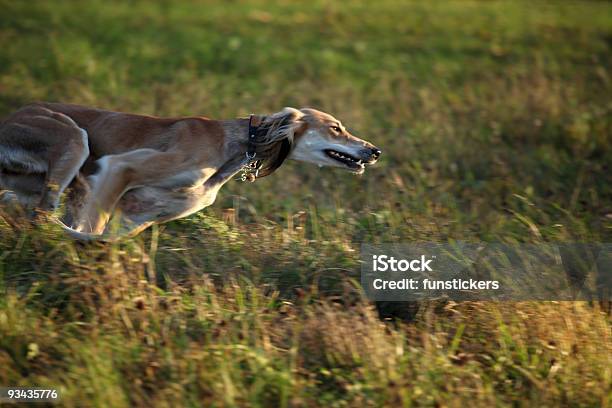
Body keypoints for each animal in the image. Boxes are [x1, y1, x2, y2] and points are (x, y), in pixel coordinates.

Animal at [0, 102, 380, 241]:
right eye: (335, 128)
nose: (374, 151)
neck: (234, 144)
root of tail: (11, 116)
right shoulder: (119, 168)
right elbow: (92, 230)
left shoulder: (138, 215)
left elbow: (103, 238)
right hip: (73, 138)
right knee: (41, 215)